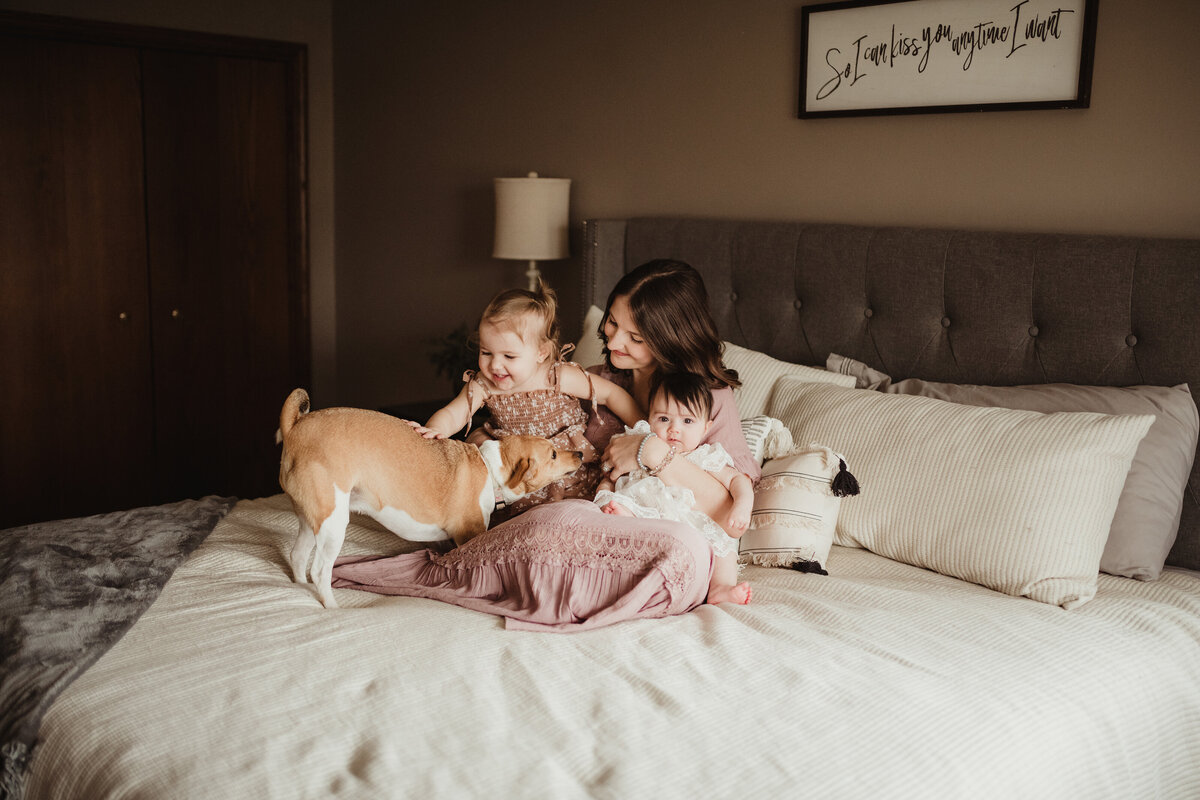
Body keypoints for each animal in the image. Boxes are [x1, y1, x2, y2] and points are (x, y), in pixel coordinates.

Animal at [277, 388, 585, 606]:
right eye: (553, 454)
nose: (580, 454)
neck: (490, 469)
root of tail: (296, 426)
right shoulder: (468, 536)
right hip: (333, 523)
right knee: (320, 570)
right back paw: (331, 606)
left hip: (312, 520)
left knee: (297, 556)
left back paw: (302, 588)